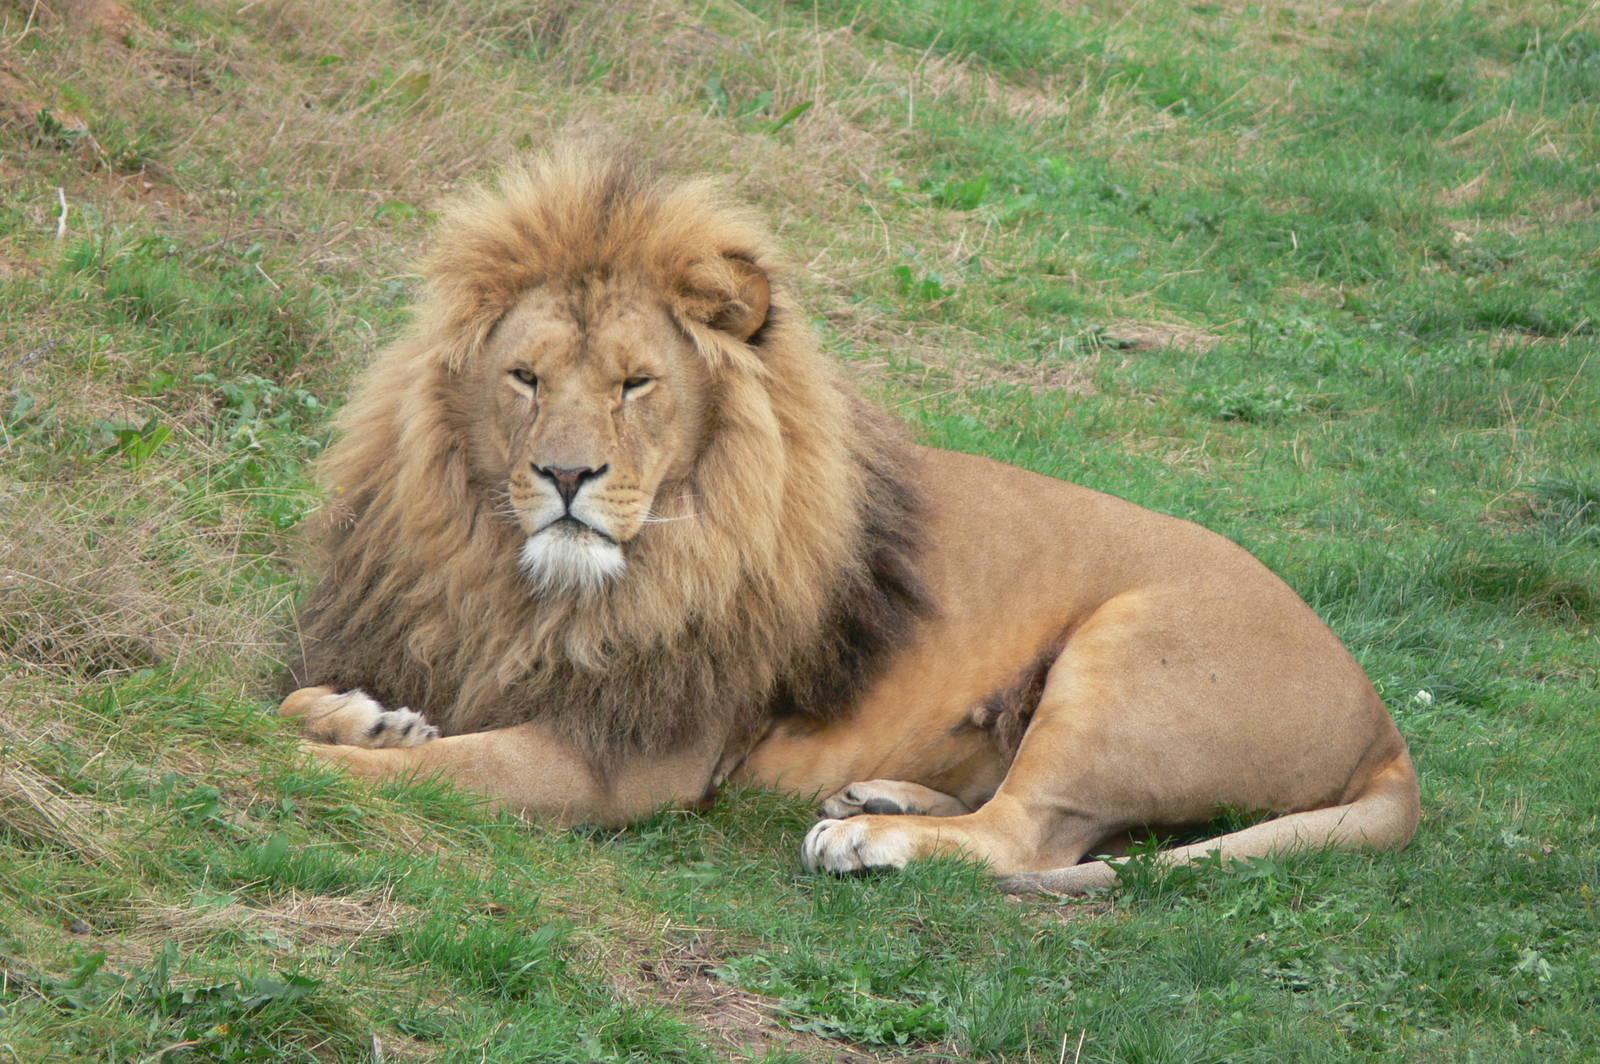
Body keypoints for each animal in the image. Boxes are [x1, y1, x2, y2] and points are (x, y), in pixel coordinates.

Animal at [281, 150, 1419, 893]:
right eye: (524, 377)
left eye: (636, 384)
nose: (565, 473)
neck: (526, 583)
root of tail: (1384, 722)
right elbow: (317, 702)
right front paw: (359, 715)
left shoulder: (631, 755)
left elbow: (448, 767)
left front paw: (304, 759)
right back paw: (883, 797)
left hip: (1130, 656)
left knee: (1031, 838)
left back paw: (870, 839)